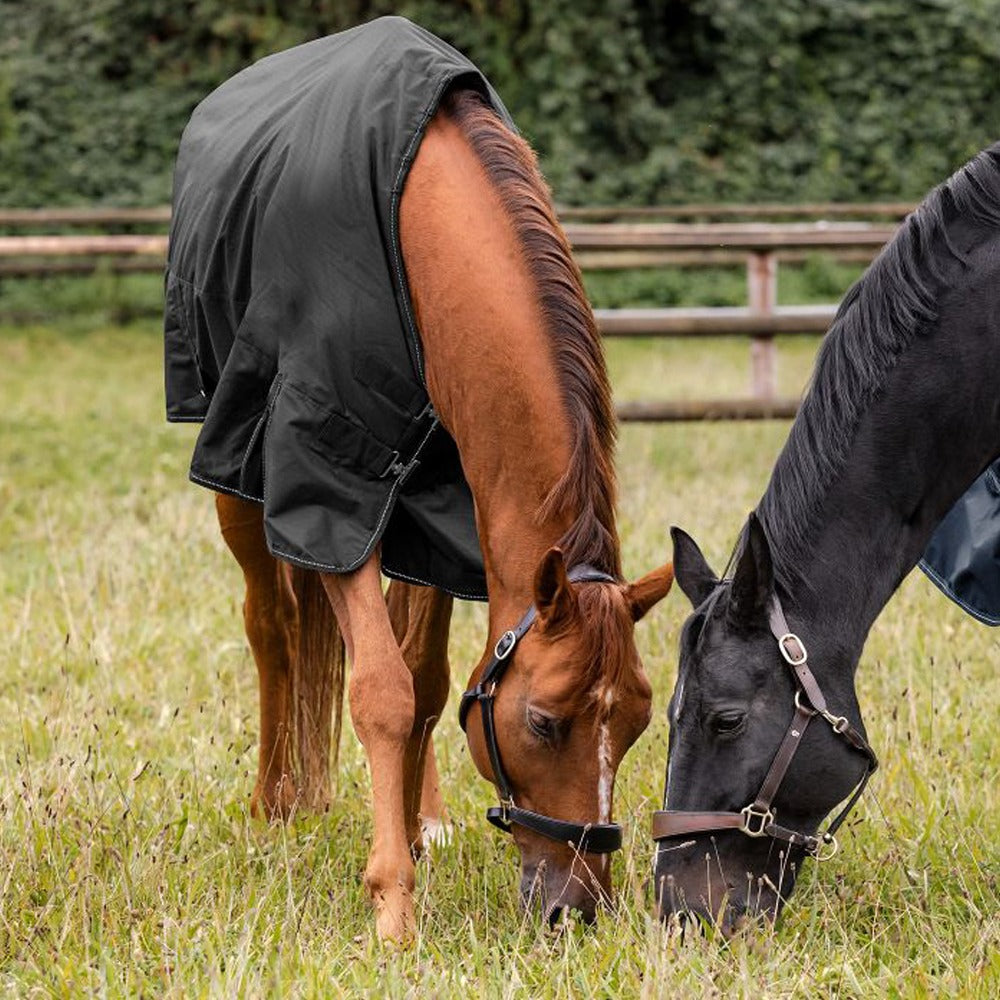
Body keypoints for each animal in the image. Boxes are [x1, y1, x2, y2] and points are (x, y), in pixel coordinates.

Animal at [164, 18, 672, 943]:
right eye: (545, 722)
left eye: (639, 719)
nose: (578, 908)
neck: (420, 220)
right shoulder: (330, 486)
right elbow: (380, 692)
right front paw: (393, 904)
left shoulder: (447, 512)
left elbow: (429, 686)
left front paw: (410, 834)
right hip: (234, 470)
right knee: (270, 625)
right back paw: (274, 804)